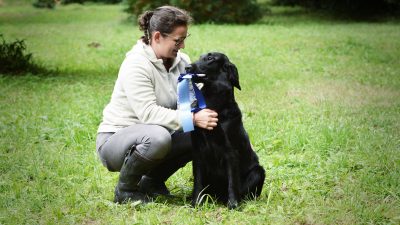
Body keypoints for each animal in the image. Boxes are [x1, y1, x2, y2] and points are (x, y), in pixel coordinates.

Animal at [187, 51, 266, 208]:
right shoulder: (197, 151)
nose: (187, 67)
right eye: (200, 57)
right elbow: (198, 181)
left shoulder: (231, 152)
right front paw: (196, 202)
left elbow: (232, 182)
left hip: (258, 171)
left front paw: (234, 204)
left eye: (210, 58)